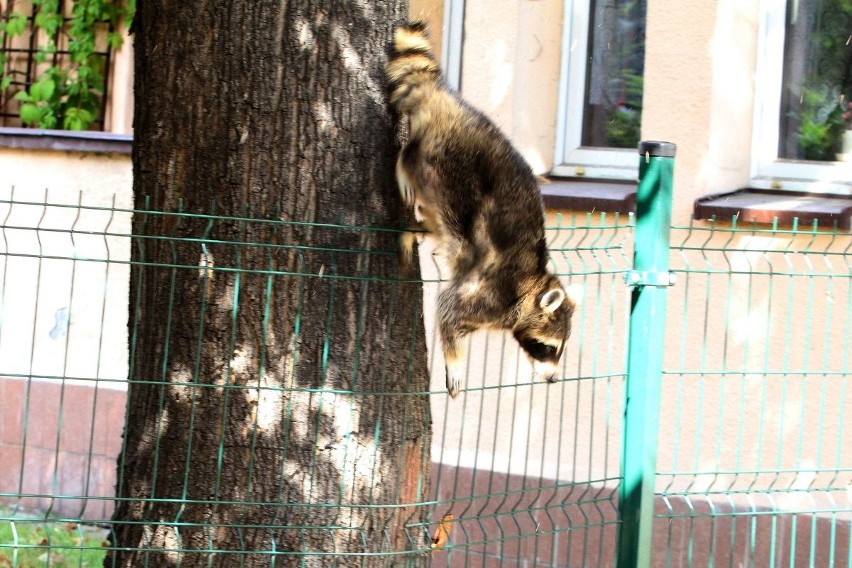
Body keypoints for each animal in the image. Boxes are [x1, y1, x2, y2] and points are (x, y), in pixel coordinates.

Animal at [388, 21, 576, 394]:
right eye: (549, 347)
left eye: (559, 350)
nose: (553, 379)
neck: (533, 284)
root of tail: (448, 100)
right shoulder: (490, 294)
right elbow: (448, 310)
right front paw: (454, 360)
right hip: (446, 160)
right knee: (415, 159)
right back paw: (404, 165)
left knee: (441, 223)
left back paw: (416, 230)